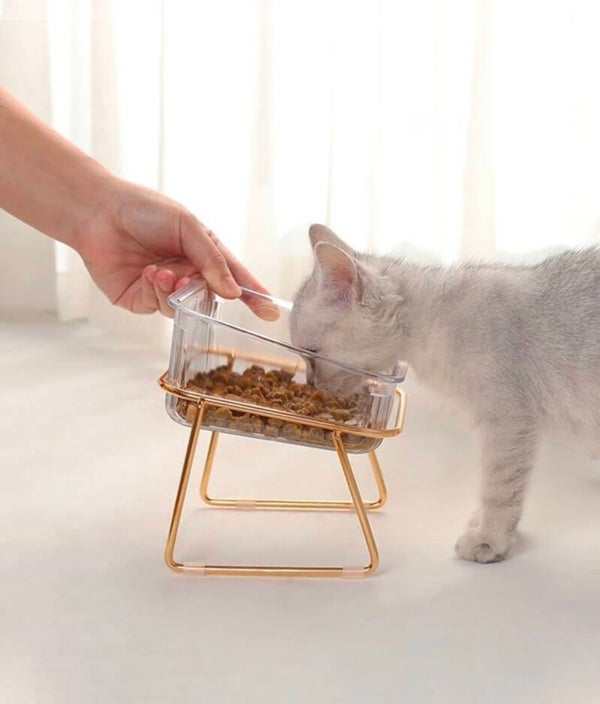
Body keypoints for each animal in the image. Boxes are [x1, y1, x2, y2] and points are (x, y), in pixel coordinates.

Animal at [290, 223, 600, 563]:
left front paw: (488, 538)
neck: (433, 318)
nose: (310, 384)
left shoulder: (507, 422)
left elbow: (499, 487)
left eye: (311, 353)